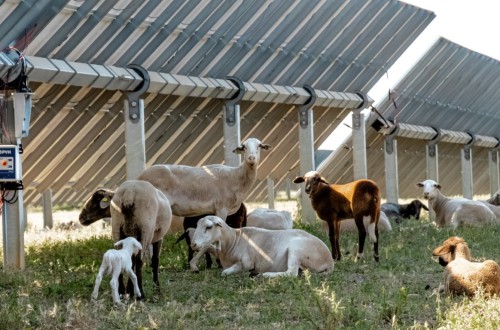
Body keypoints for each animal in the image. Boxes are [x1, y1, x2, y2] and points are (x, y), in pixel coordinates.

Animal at [189, 215, 334, 278]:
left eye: (209, 227)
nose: (193, 244)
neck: (234, 240)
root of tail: (330, 261)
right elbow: (206, 247)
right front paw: (194, 265)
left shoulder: (247, 262)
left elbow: (227, 271)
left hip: (296, 248)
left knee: (292, 273)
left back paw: (266, 275)